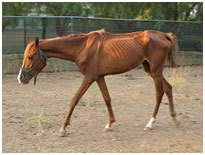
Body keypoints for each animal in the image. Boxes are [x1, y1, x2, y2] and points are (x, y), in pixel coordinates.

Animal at [17, 28, 178, 136]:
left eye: (30, 56)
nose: (21, 78)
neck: (82, 47)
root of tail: (163, 35)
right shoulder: (99, 77)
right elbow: (107, 99)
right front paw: (109, 124)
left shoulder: (89, 77)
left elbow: (74, 100)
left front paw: (63, 128)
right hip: (150, 69)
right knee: (169, 88)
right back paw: (175, 119)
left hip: (155, 71)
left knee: (159, 93)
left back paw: (150, 123)